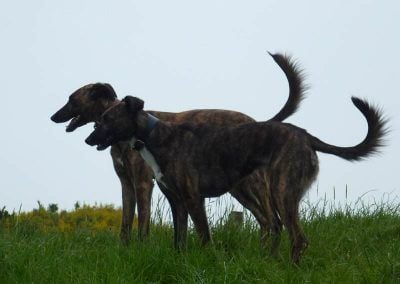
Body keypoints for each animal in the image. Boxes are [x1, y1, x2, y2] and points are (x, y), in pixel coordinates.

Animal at [50, 53, 306, 246]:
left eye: (71, 99)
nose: (53, 117)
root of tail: (258, 122)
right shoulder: (126, 184)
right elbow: (125, 224)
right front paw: (124, 250)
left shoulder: (144, 183)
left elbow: (143, 223)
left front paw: (142, 249)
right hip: (239, 188)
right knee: (265, 221)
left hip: (253, 185)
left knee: (273, 220)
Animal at [85, 95, 388, 264]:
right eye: (99, 118)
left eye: (107, 119)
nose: (88, 139)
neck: (155, 137)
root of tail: (305, 136)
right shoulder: (177, 203)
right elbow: (179, 240)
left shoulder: (193, 199)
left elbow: (204, 237)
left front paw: (207, 262)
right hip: (256, 192)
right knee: (276, 226)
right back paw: (270, 262)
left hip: (281, 190)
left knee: (297, 237)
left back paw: (290, 269)